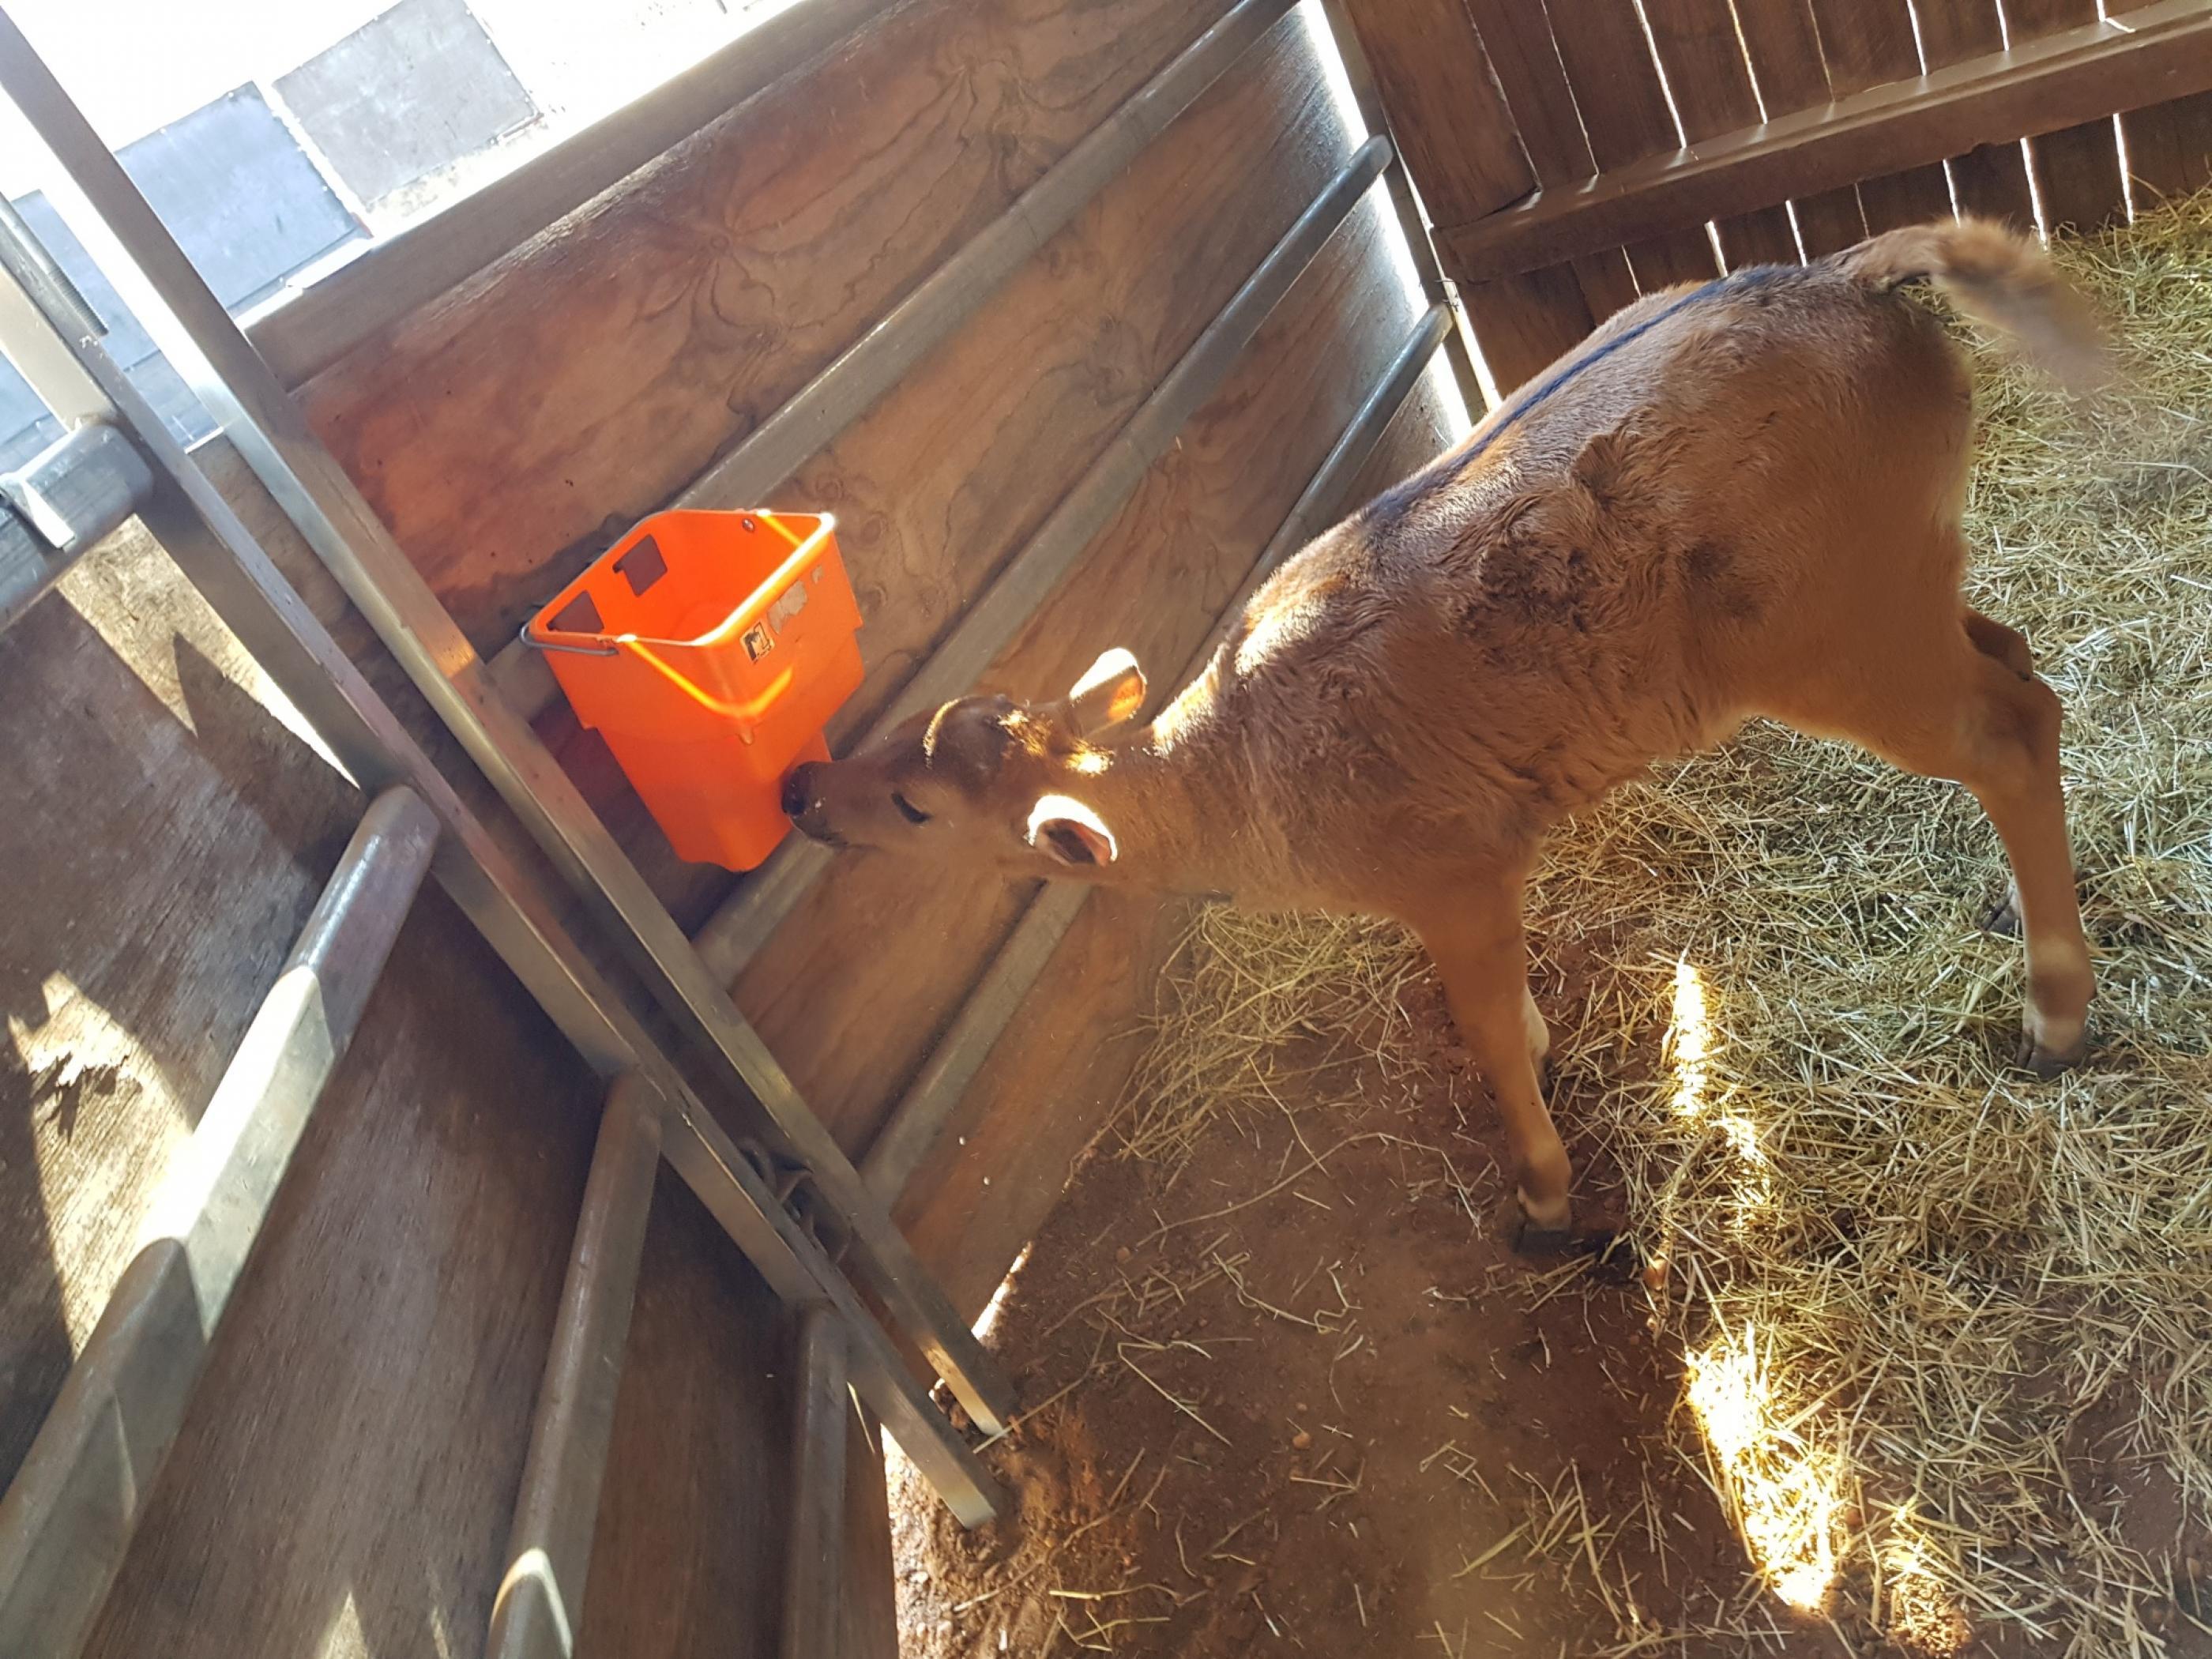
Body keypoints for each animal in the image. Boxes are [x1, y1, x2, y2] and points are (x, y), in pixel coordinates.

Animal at [783, 228, 2105, 1256]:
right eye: (889, 742)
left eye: (915, 807)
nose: (801, 788)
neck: (1244, 780)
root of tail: (1844, 272)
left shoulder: (1454, 873)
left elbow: (1487, 1034)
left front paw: (1542, 1201)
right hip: (1908, 593)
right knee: (2021, 664)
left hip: (1835, 635)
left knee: (2007, 729)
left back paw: (2055, 1020)